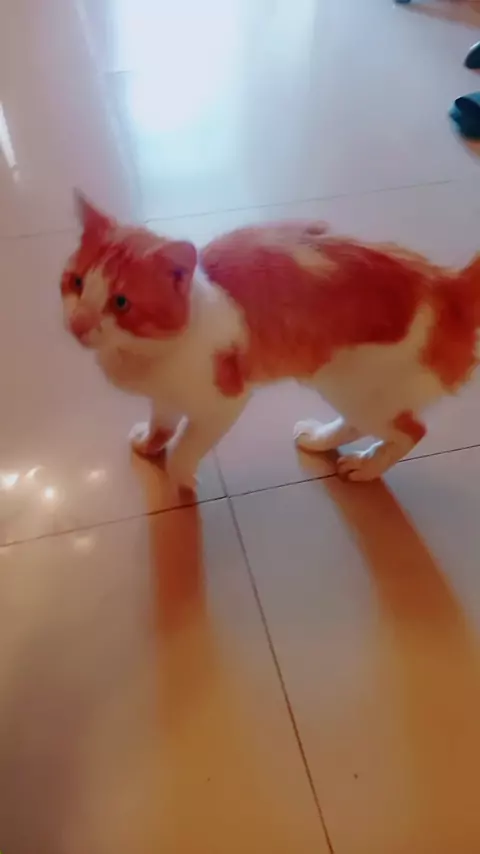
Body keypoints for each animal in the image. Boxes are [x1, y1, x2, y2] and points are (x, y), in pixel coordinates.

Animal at [61, 192, 480, 489]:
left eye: (121, 303)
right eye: (77, 282)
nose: (79, 324)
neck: (142, 351)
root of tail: (447, 287)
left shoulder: (224, 402)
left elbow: (185, 445)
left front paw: (181, 479)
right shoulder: (163, 398)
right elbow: (162, 425)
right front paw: (150, 445)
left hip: (362, 387)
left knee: (412, 431)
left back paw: (368, 467)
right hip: (349, 386)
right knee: (365, 424)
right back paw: (322, 440)